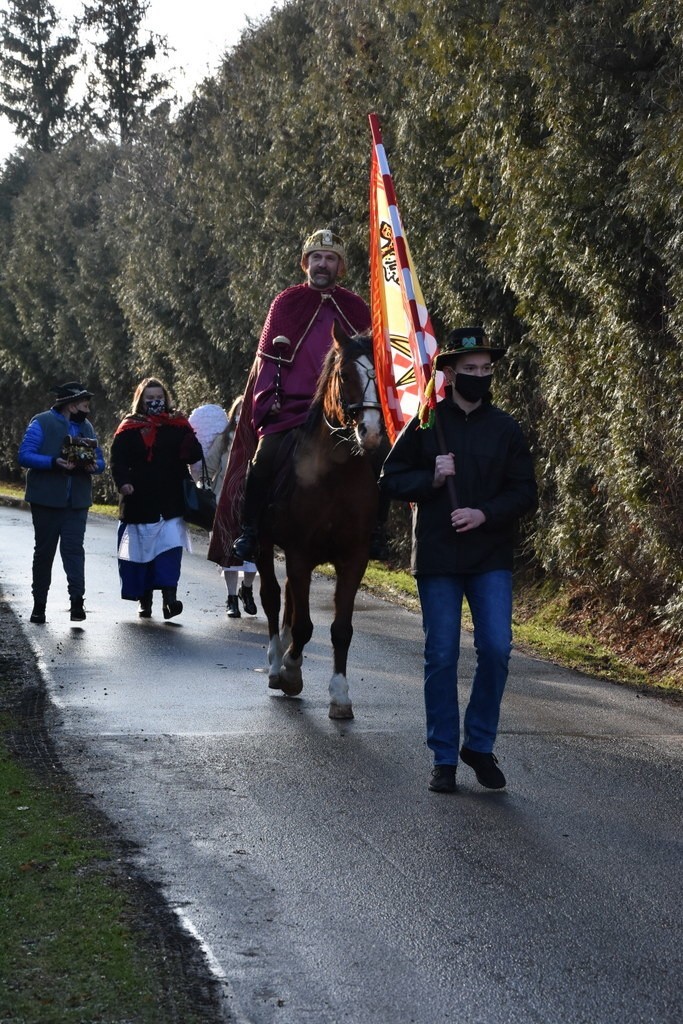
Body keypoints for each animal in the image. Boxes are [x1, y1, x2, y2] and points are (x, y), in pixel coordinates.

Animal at [255, 319, 385, 720]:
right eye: (344, 375)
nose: (371, 433)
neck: (335, 475)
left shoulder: (354, 558)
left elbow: (340, 628)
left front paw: (340, 695)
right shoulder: (299, 554)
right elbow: (303, 625)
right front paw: (291, 672)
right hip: (263, 544)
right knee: (271, 597)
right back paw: (275, 663)